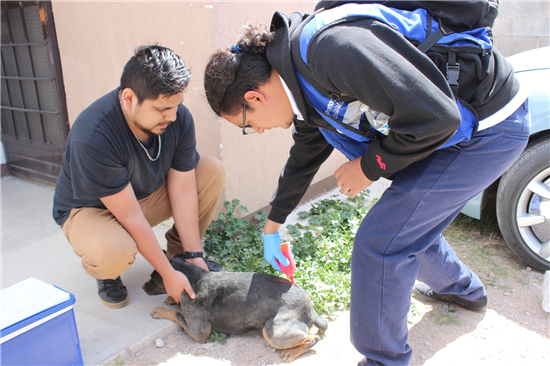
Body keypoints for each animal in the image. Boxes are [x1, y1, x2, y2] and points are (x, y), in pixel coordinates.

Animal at [144, 253, 330, 362]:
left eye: (152, 278)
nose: (143, 287)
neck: (194, 278)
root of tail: (310, 309)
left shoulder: (199, 332)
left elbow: (176, 314)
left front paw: (162, 311)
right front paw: (171, 297)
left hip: (274, 332)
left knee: (312, 338)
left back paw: (292, 353)